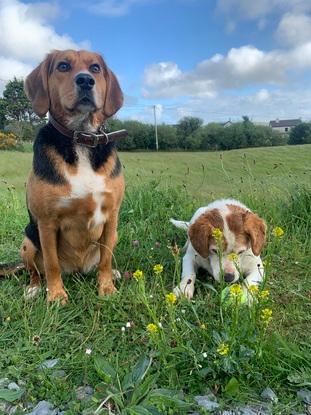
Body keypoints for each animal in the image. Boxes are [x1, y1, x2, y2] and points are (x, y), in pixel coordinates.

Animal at [19, 50, 124, 304]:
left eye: (95, 68)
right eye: (63, 66)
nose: (85, 80)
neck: (81, 137)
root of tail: (78, 270)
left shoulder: (112, 215)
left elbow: (106, 259)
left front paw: (106, 288)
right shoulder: (46, 222)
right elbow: (51, 264)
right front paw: (56, 295)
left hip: (115, 234)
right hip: (27, 241)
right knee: (35, 271)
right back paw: (34, 288)